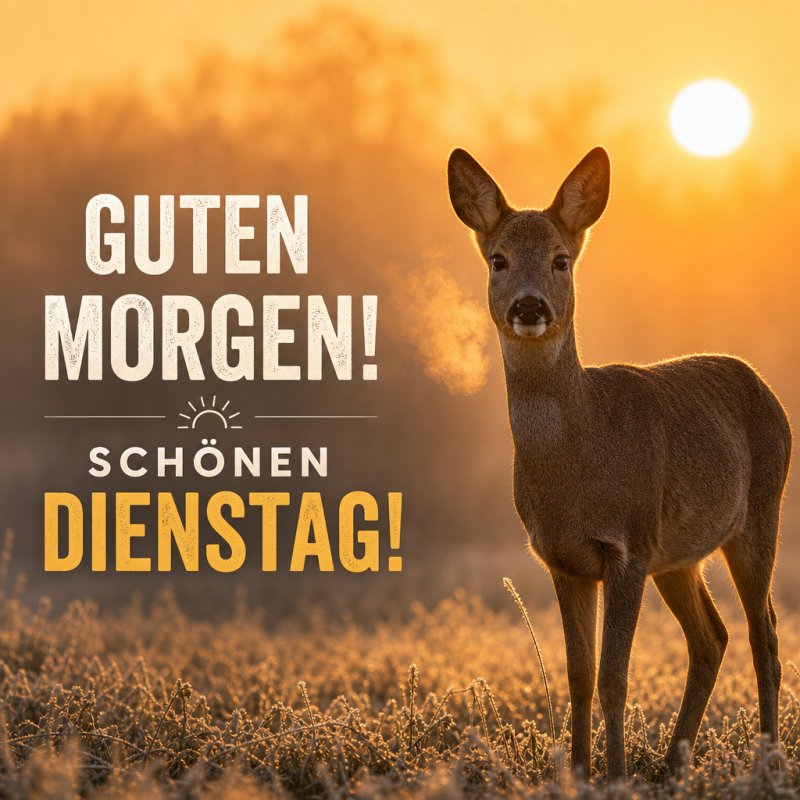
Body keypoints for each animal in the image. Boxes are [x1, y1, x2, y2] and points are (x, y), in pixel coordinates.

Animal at [447, 146, 792, 783]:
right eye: (498, 259)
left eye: (561, 260)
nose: (528, 306)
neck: (578, 463)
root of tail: (762, 384)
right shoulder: (564, 559)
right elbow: (579, 677)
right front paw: (580, 775)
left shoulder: (626, 545)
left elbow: (614, 678)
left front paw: (614, 776)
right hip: (678, 556)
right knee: (713, 637)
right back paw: (675, 765)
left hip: (760, 515)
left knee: (767, 639)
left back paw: (768, 763)